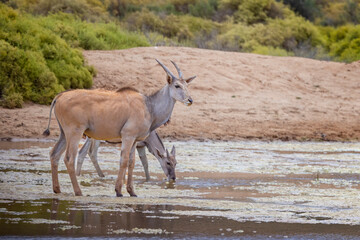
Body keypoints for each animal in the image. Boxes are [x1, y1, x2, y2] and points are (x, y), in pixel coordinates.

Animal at [43, 59, 195, 197]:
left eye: (187, 85)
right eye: (177, 85)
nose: (190, 100)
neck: (149, 106)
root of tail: (59, 96)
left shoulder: (135, 141)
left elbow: (132, 162)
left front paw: (132, 192)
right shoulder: (128, 136)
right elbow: (124, 161)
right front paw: (118, 191)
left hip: (64, 134)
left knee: (54, 154)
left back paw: (57, 189)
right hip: (75, 132)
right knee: (69, 158)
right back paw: (78, 192)